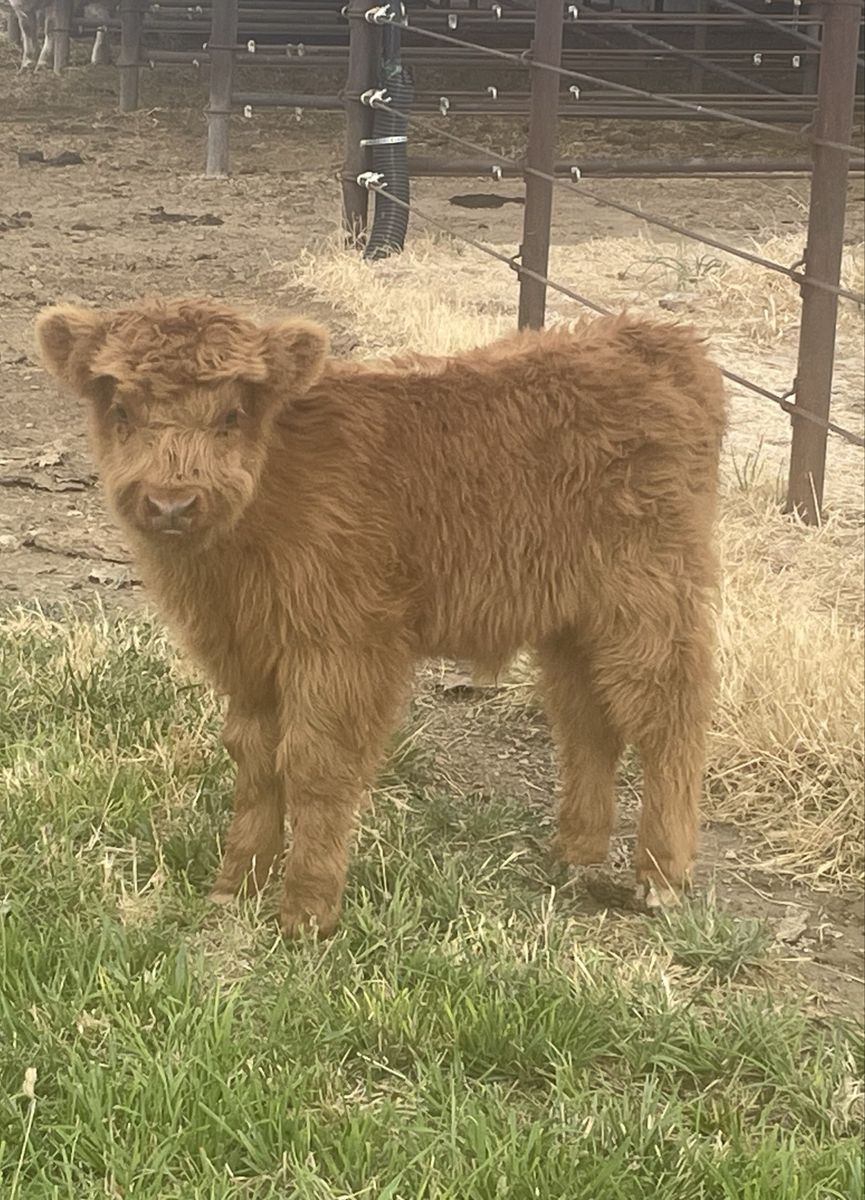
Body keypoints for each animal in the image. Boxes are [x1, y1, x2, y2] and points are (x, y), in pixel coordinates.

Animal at [35, 298, 725, 939]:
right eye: (121, 413)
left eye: (232, 414)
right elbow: (252, 757)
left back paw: (661, 877)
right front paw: (237, 884)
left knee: (671, 718)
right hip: (571, 618)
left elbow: (315, 765)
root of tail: (657, 339)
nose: (171, 503)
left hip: (650, 598)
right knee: (587, 720)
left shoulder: (344, 645)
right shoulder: (245, 652)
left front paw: (306, 912)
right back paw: (576, 852)